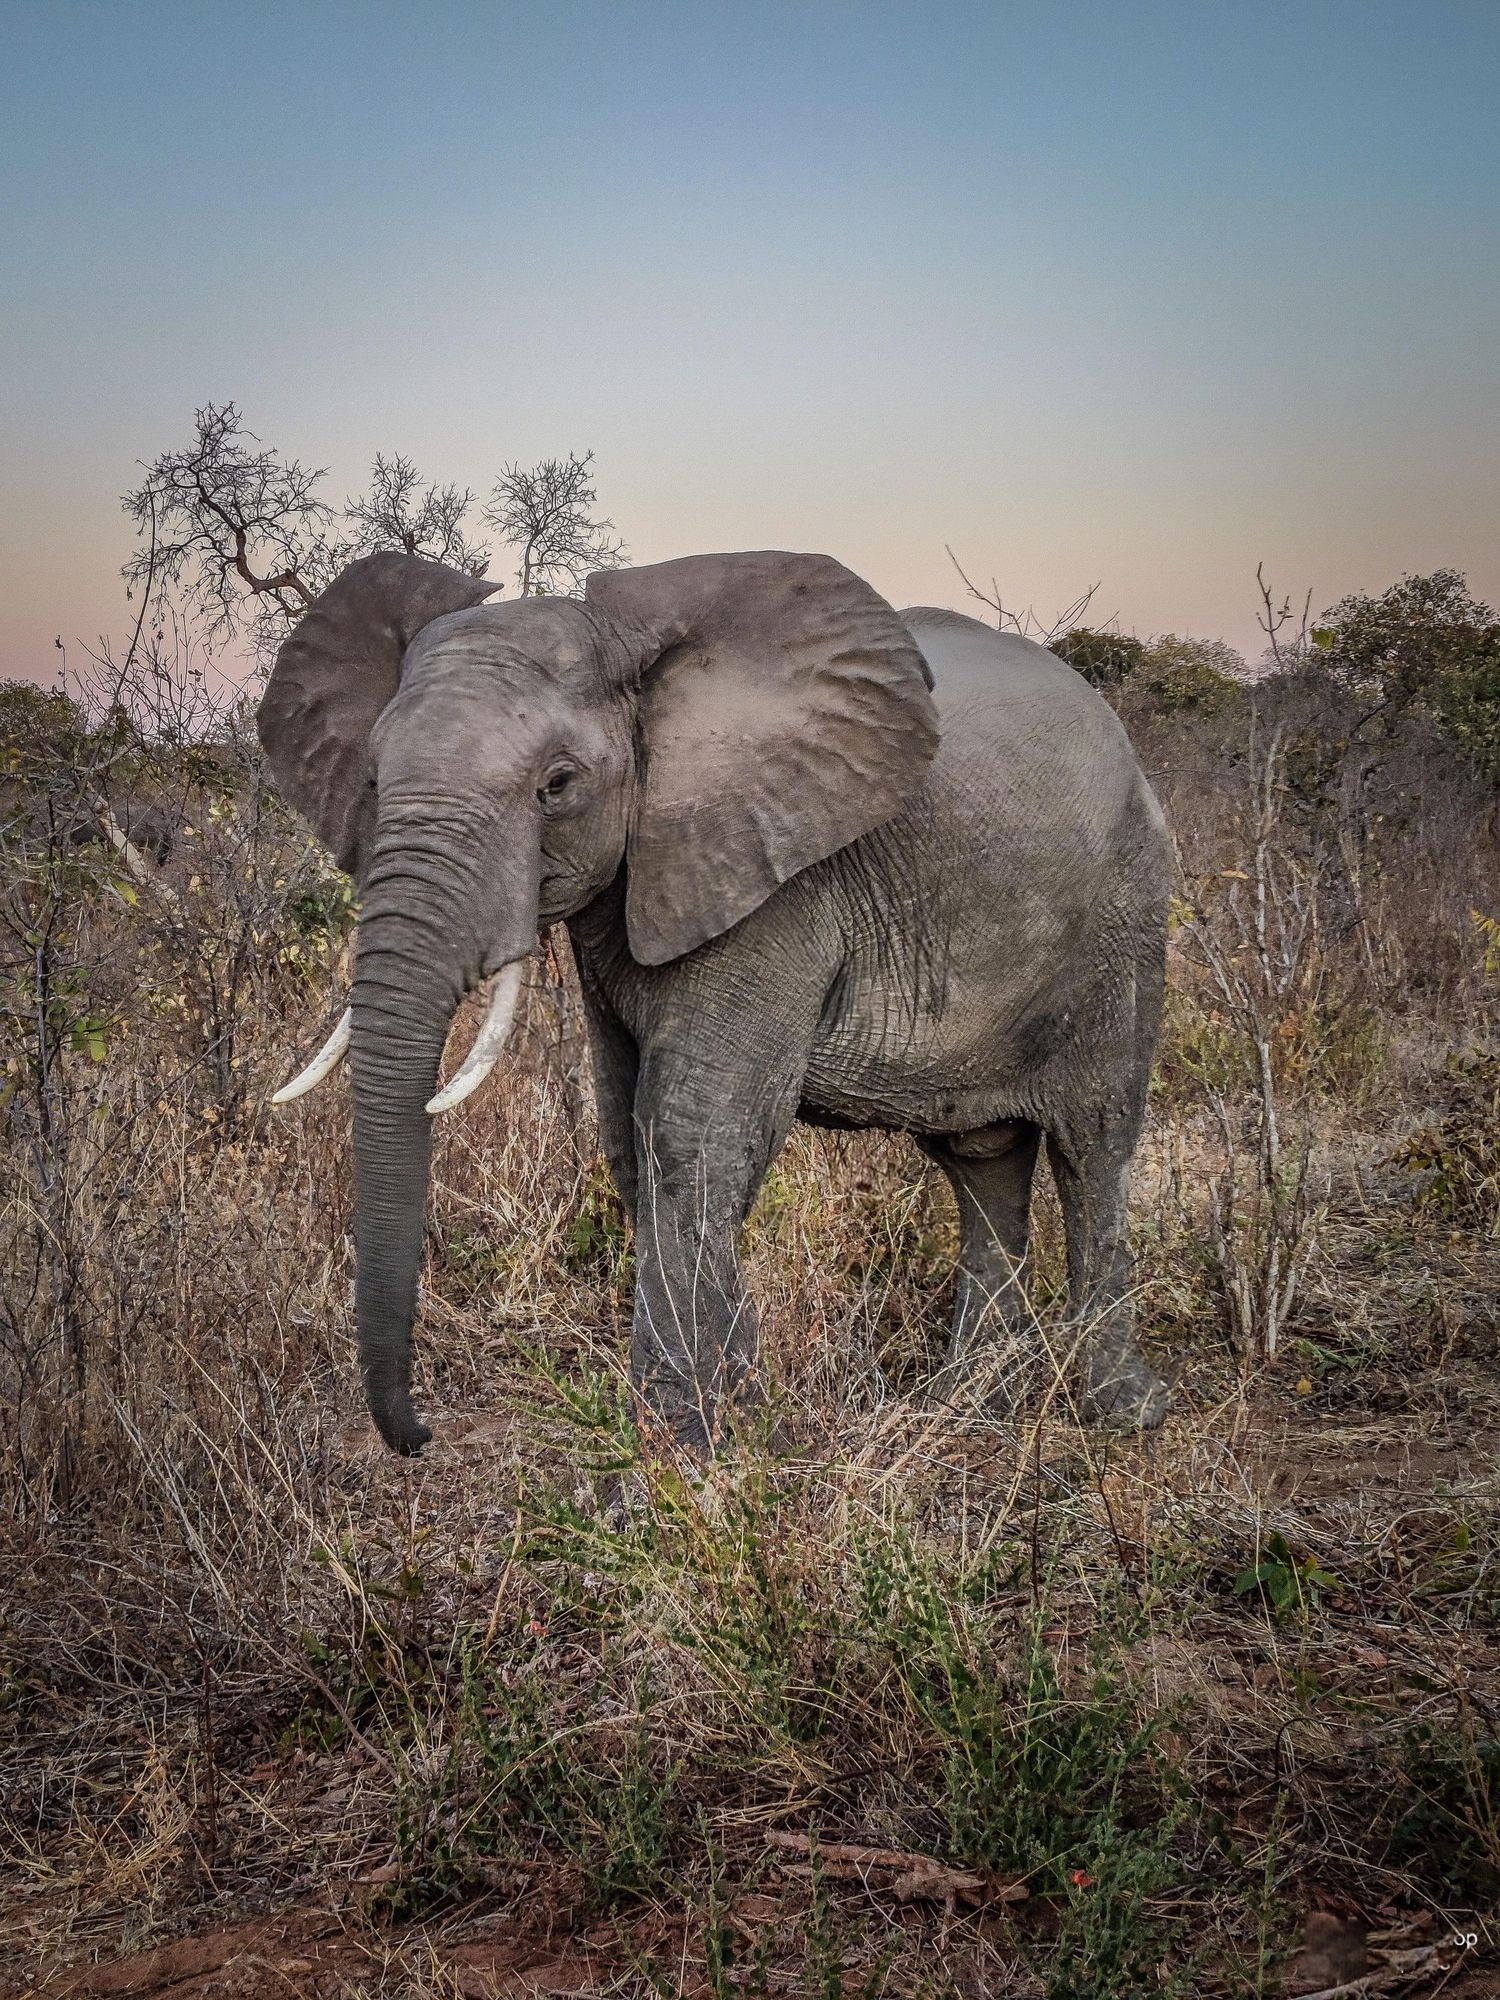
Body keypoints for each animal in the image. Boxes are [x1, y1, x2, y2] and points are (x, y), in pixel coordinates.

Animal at [257, 549, 1172, 1457]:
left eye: (557, 786)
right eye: (373, 778)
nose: (420, 1436)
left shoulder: (777, 877)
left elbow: (691, 1130)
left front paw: (680, 1451)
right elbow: (626, 1128)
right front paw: (735, 1413)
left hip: (1126, 918)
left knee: (1094, 1145)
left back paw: (1118, 1412)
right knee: (982, 1159)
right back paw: (969, 1408)